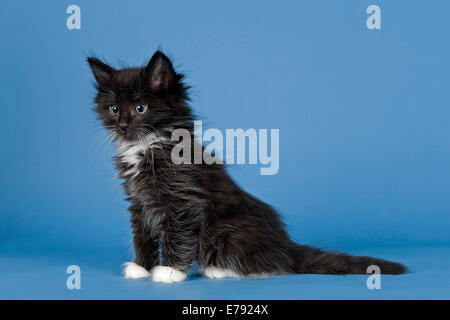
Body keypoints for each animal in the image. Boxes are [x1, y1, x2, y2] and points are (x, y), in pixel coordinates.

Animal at [87, 51, 404, 284]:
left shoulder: (182, 200)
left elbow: (177, 234)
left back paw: (219, 269)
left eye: (140, 108)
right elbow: (143, 235)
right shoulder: (139, 203)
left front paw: (170, 272)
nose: (123, 125)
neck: (148, 145)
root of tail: (286, 244)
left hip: (228, 229)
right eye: (114, 109)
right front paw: (141, 268)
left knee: (274, 264)